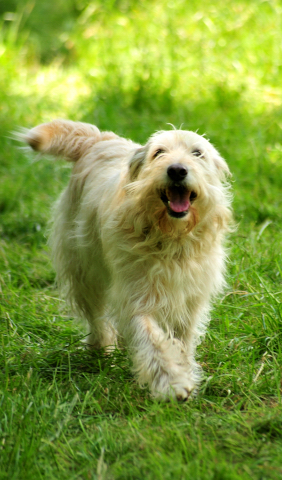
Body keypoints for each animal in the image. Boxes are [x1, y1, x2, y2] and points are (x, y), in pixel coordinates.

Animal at [23, 119, 231, 402]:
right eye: (159, 152)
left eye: (197, 153)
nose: (177, 170)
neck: (171, 238)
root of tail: (99, 140)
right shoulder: (137, 296)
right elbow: (152, 340)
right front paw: (172, 382)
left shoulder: (190, 300)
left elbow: (181, 340)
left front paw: (184, 368)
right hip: (83, 270)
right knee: (96, 316)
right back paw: (101, 349)